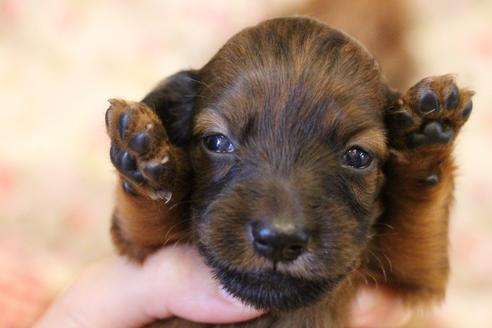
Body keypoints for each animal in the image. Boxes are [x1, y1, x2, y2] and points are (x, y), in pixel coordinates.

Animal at [104, 18, 472, 328]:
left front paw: (427, 139)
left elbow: (419, 216)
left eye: (357, 156)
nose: (279, 241)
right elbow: (147, 222)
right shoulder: (143, 250)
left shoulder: (414, 274)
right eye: (216, 141)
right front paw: (148, 157)